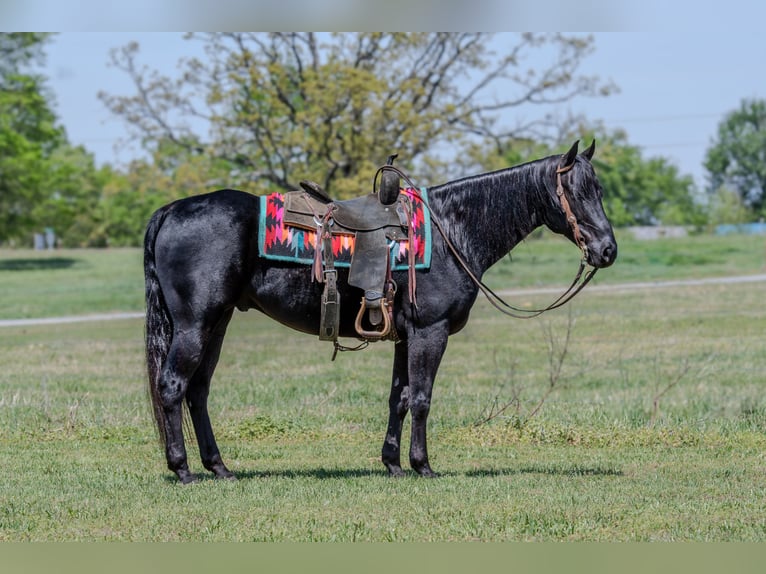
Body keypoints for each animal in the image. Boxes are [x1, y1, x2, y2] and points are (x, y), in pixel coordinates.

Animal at [143, 140, 617, 484]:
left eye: (600, 191)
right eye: (578, 192)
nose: (607, 250)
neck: (452, 230)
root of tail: (171, 210)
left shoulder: (406, 337)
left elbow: (400, 398)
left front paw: (392, 462)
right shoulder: (430, 332)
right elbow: (422, 398)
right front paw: (422, 465)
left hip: (217, 322)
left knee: (198, 391)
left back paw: (219, 467)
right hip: (195, 324)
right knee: (172, 386)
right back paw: (182, 469)